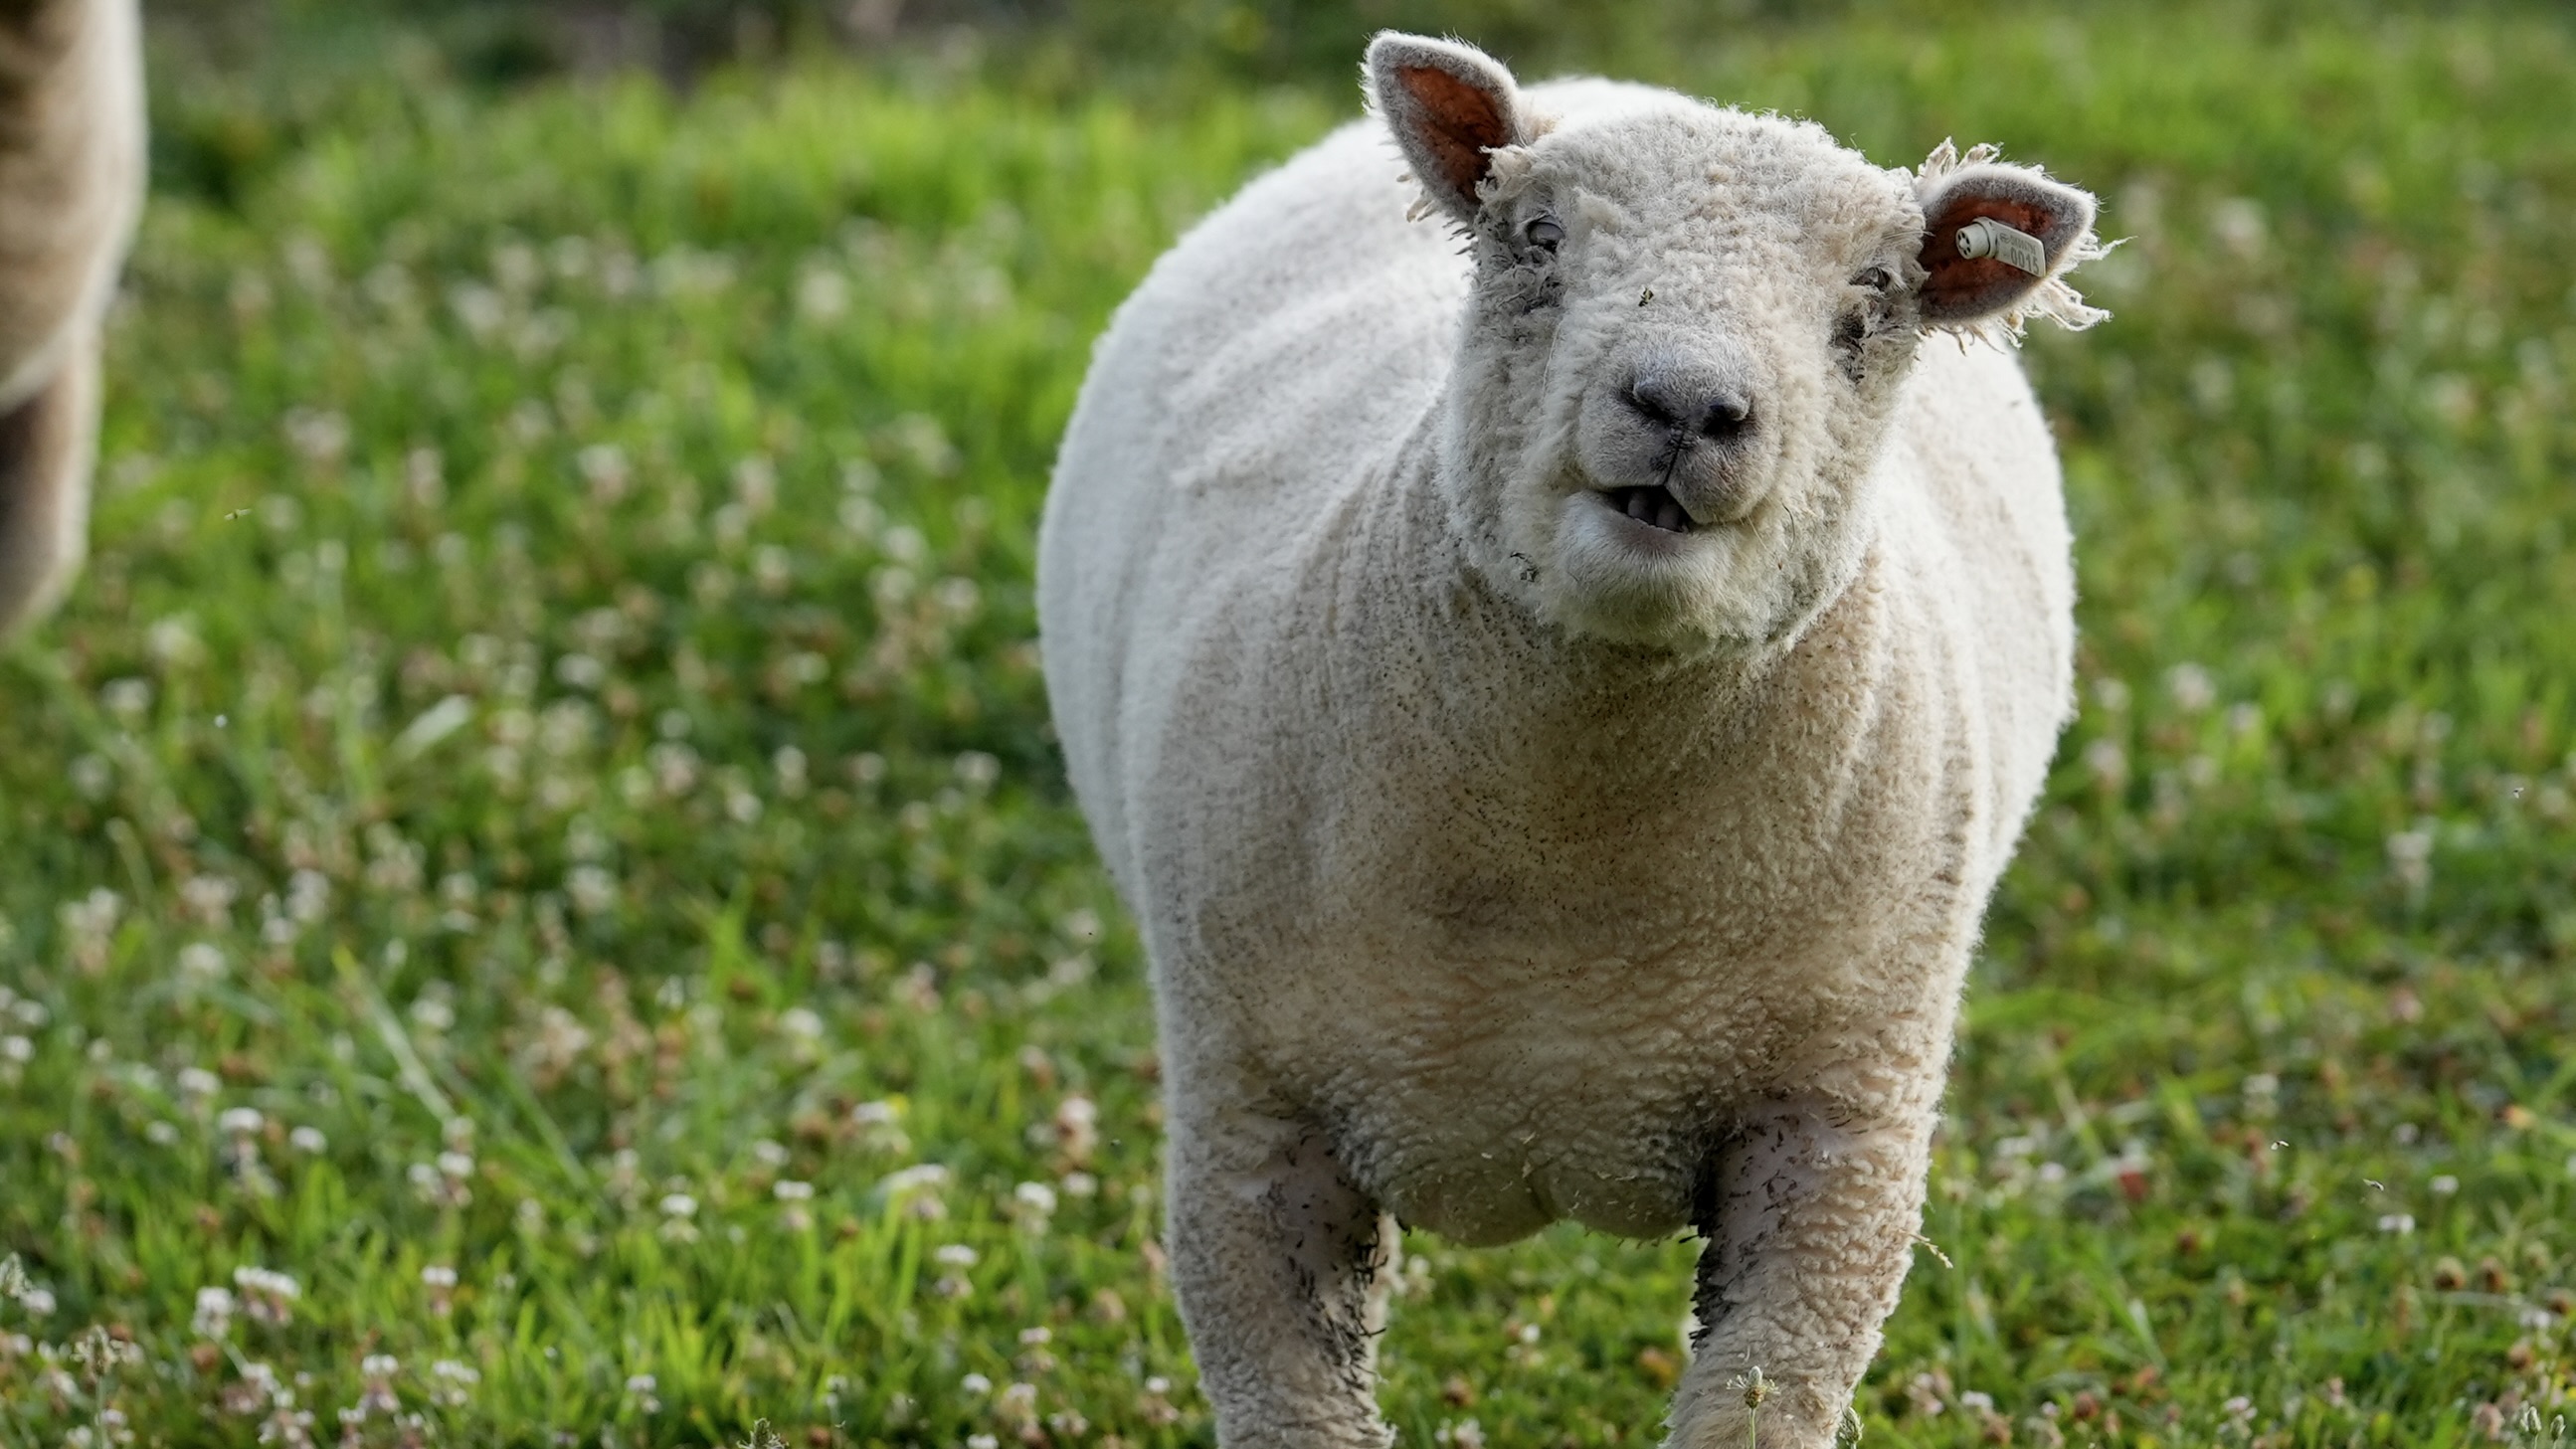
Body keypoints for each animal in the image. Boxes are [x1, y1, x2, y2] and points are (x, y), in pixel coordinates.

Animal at [1038, 31, 2105, 1449]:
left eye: (1872, 306)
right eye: (1534, 239)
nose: (1686, 404)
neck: (1571, 882)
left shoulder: (1841, 1139)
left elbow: (1759, 1398)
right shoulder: (1243, 1121)